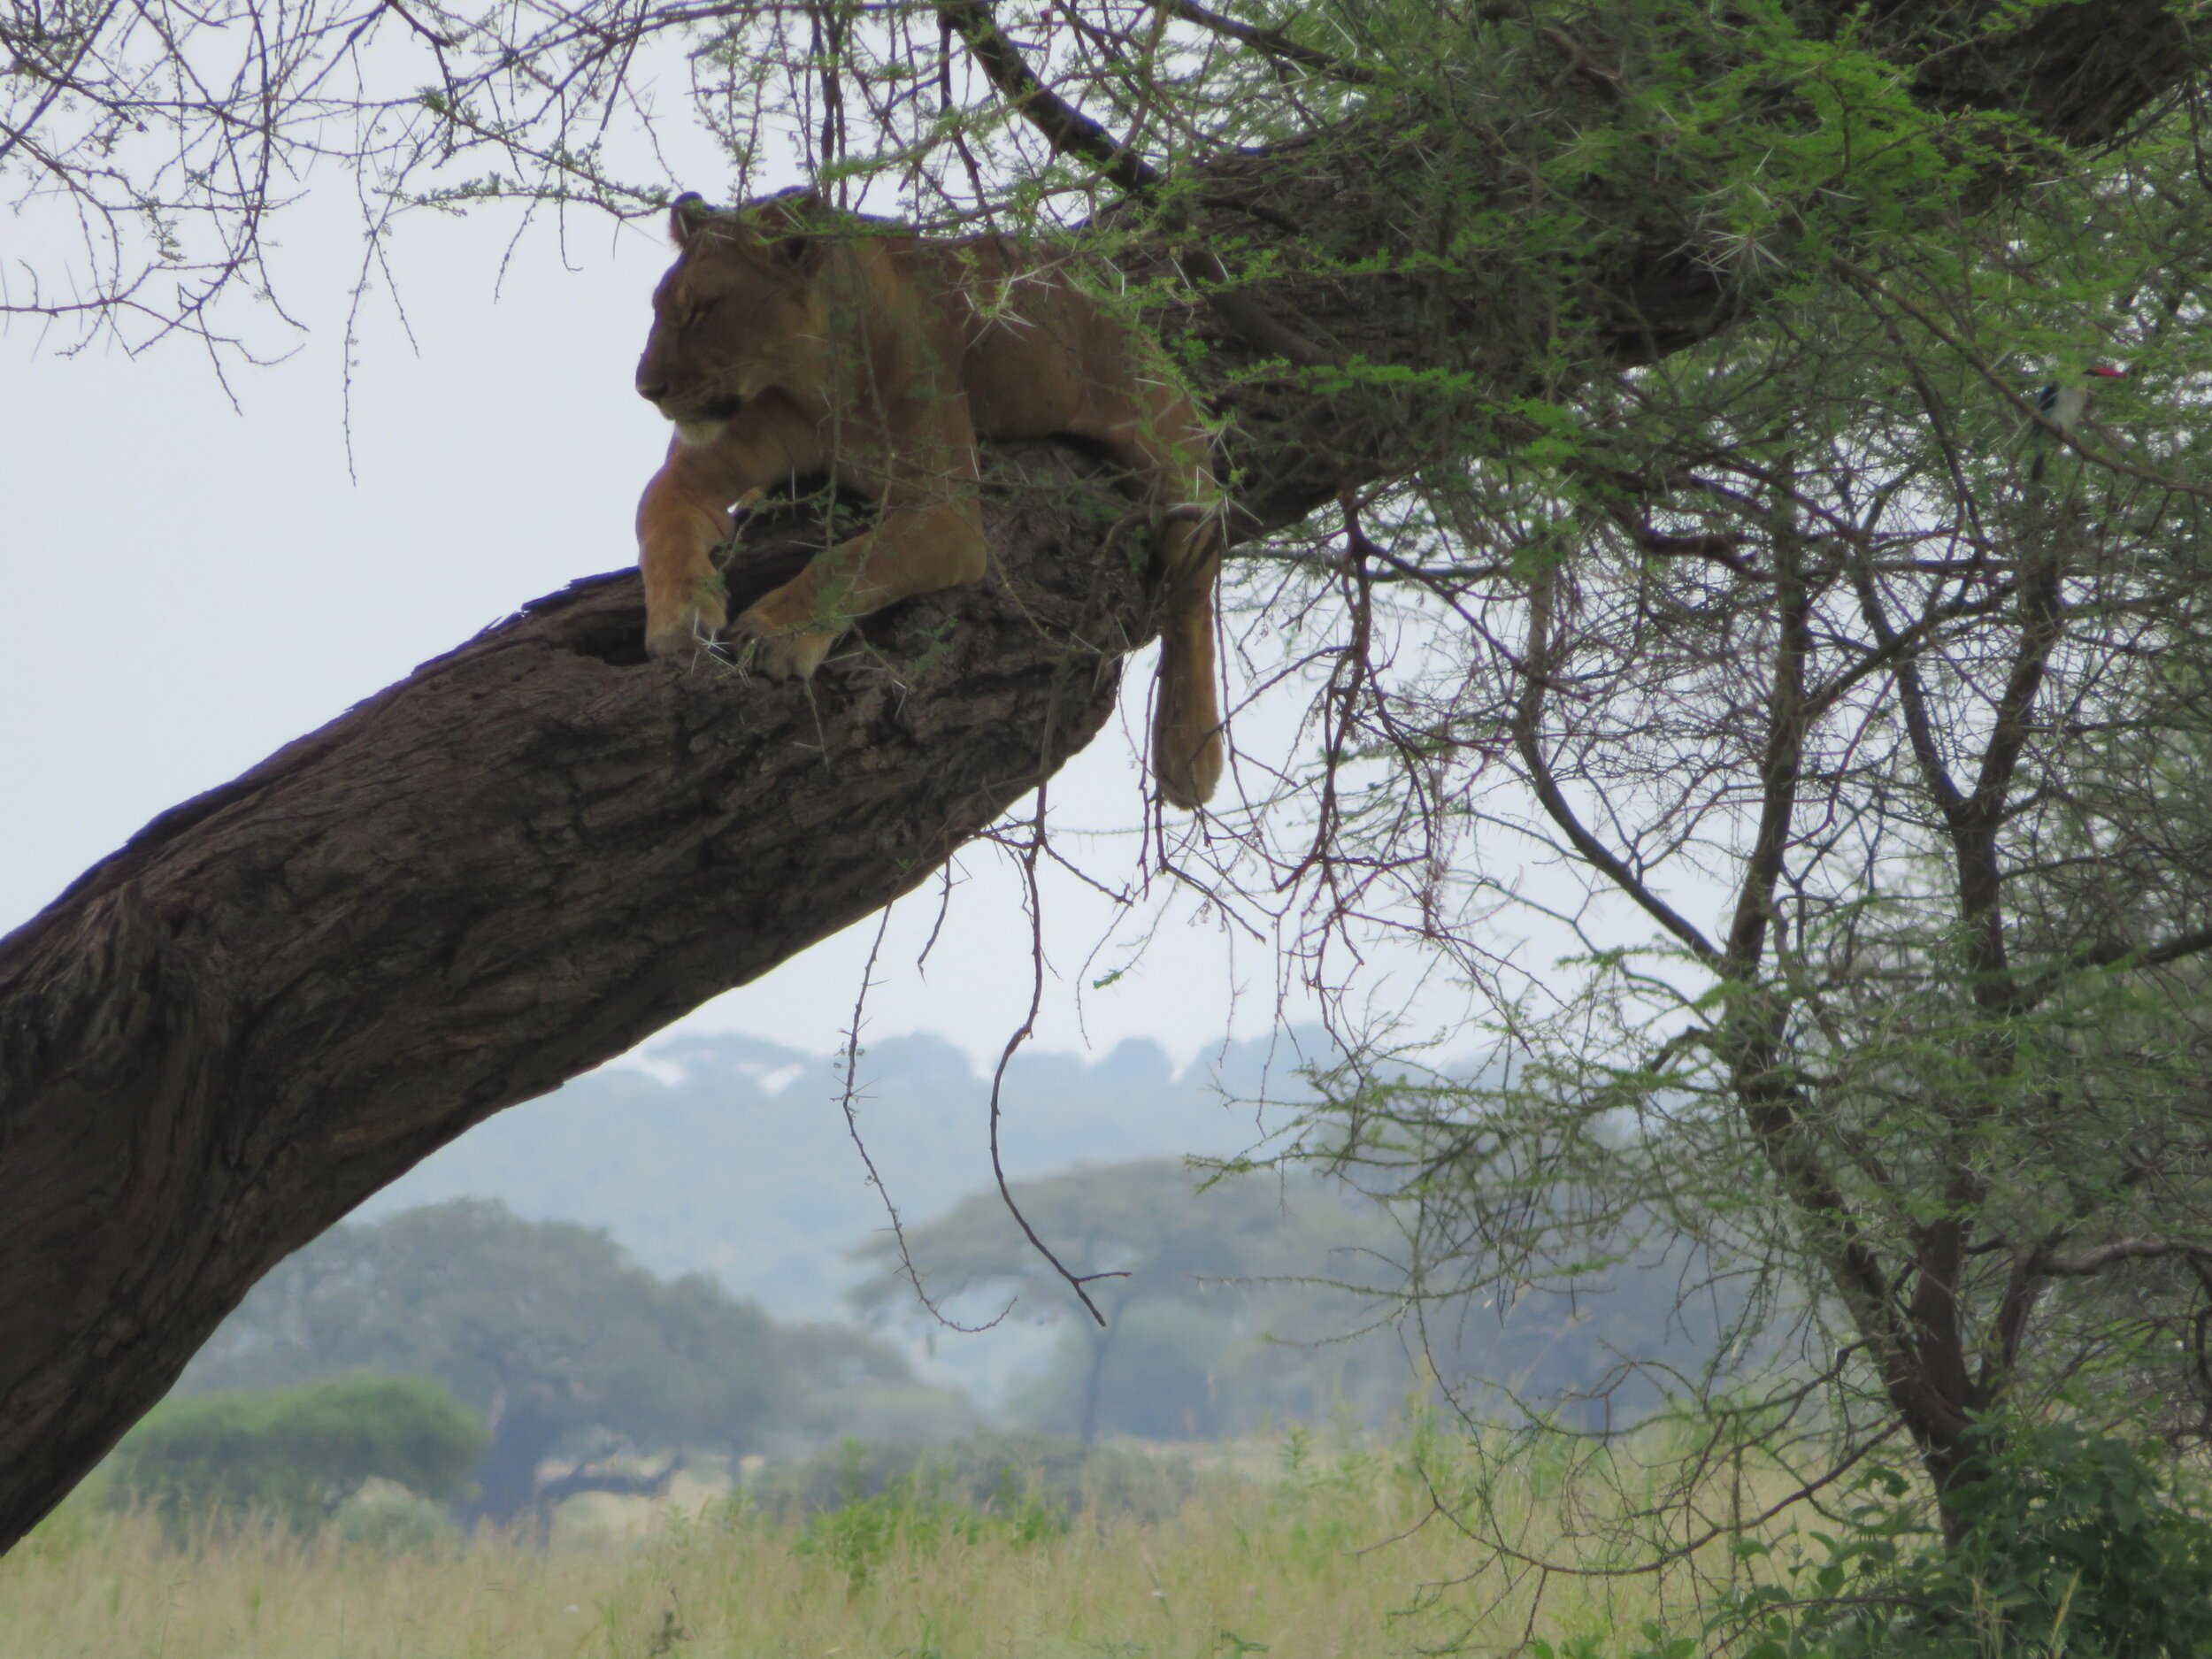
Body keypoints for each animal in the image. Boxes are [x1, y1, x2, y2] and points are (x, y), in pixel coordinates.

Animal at [637, 188, 1230, 814]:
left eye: (701, 311)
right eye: (659, 309)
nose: (645, 389)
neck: (813, 386)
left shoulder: (946, 514)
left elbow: (851, 560)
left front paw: (776, 633)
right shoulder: (689, 474)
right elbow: (661, 522)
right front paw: (679, 616)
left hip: (1175, 468)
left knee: (1195, 592)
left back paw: (1187, 756)